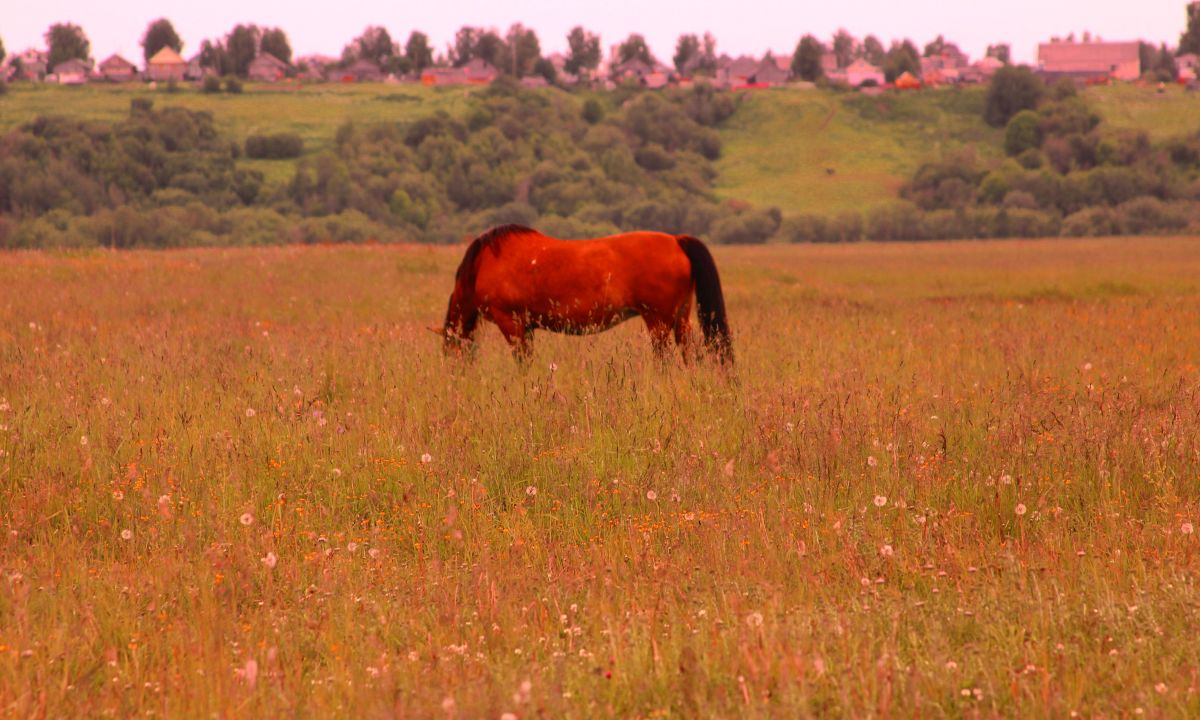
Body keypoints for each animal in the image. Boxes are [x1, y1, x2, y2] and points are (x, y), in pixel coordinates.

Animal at [432, 223, 729, 362]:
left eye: (448, 349)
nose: (455, 378)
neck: (484, 263)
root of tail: (677, 241)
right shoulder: (527, 327)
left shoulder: (512, 324)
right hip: (681, 319)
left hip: (658, 322)